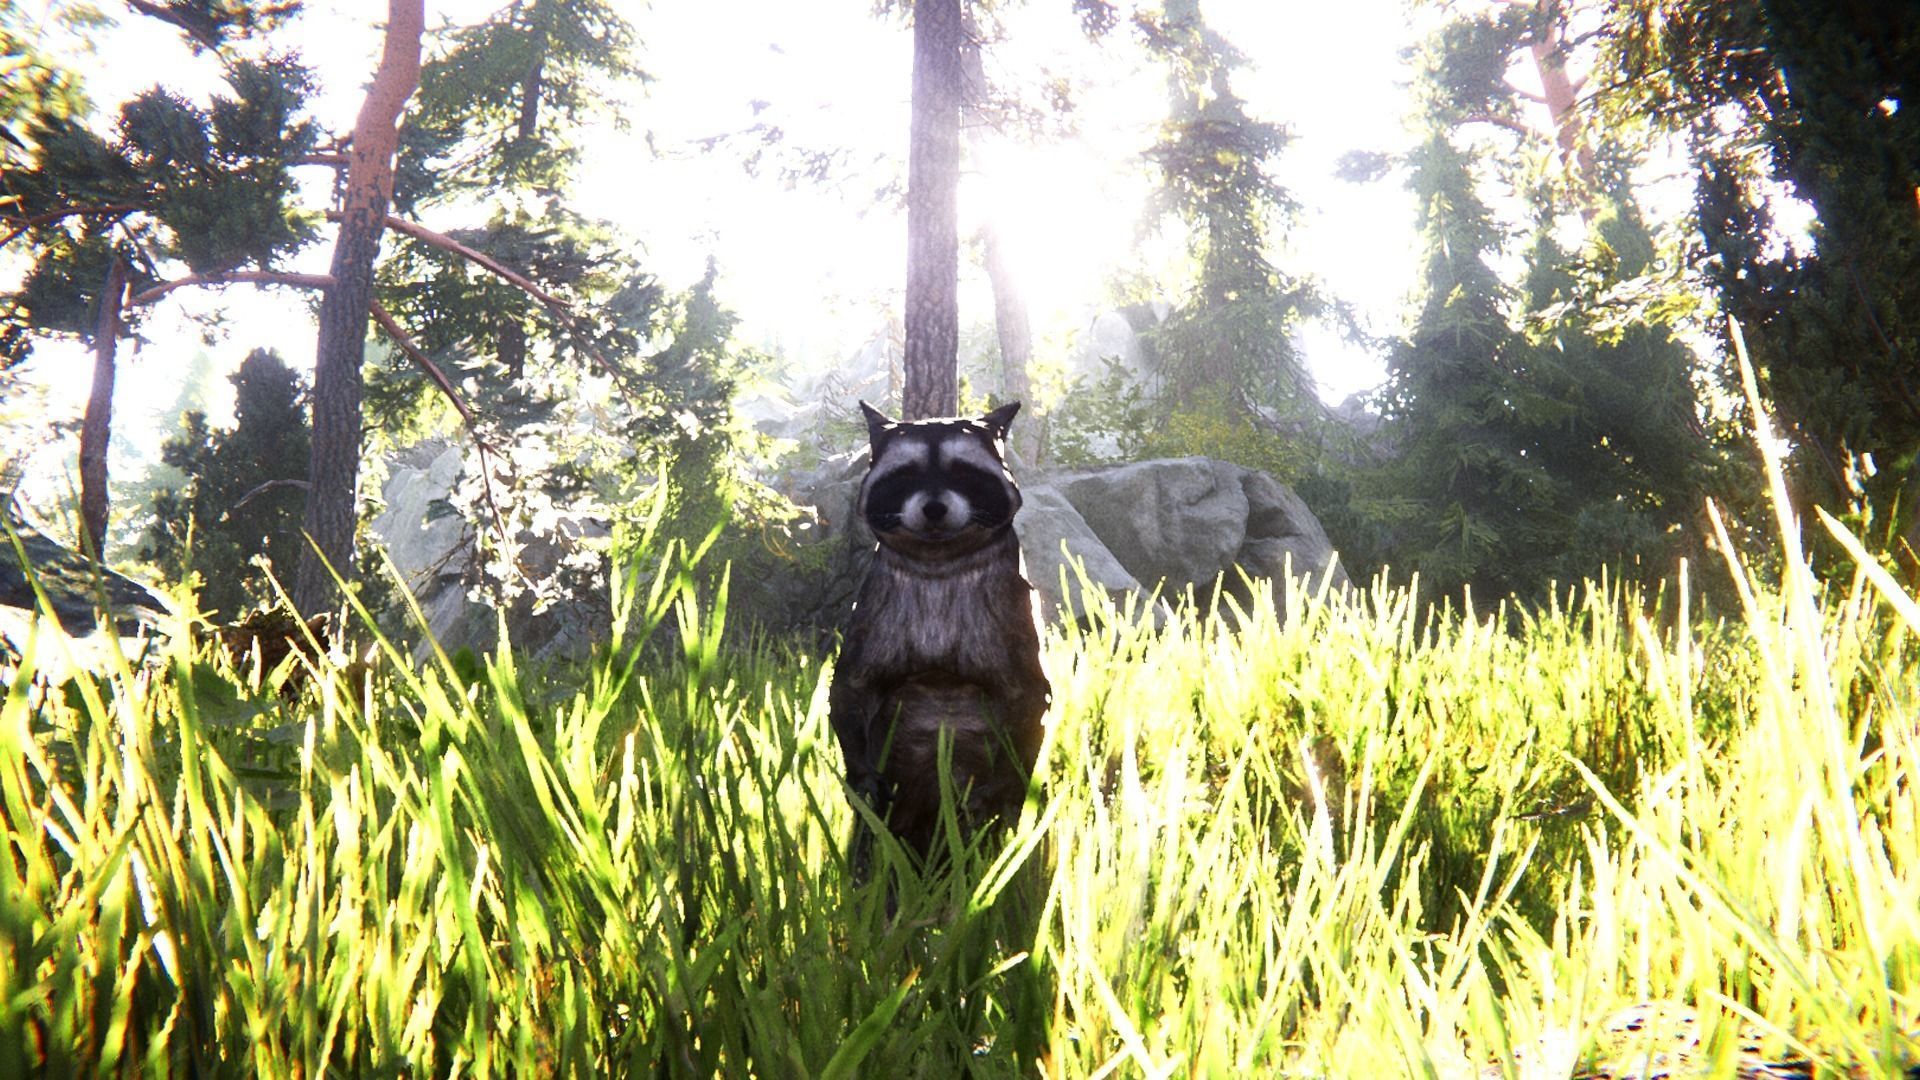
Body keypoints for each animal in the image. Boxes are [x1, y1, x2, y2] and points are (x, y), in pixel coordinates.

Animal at [829, 400, 1051, 874]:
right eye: (906, 474)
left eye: (963, 473)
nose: (933, 508)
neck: (939, 559)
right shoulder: (873, 611)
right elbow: (851, 687)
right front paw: (859, 770)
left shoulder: (1014, 614)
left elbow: (1029, 697)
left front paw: (1000, 788)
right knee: (875, 844)